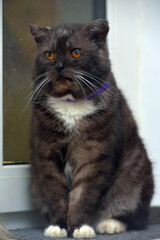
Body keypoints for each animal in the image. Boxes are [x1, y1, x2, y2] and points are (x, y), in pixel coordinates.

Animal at [29, 19, 154, 238]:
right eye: (49, 54)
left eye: (76, 52)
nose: (59, 66)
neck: (70, 102)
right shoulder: (46, 154)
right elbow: (56, 193)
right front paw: (59, 226)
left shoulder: (95, 156)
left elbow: (83, 194)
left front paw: (79, 227)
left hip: (135, 174)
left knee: (137, 217)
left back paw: (109, 224)